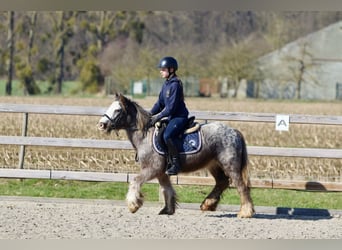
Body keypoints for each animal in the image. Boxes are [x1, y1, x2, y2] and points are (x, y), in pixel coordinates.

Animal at [97, 93, 255, 218]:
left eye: (117, 110)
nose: (101, 125)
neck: (145, 135)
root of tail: (234, 131)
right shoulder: (161, 173)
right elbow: (167, 189)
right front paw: (168, 209)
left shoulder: (152, 169)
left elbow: (135, 180)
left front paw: (133, 205)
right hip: (214, 165)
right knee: (222, 182)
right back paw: (207, 204)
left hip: (230, 166)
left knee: (241, 186)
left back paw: (245, 212)